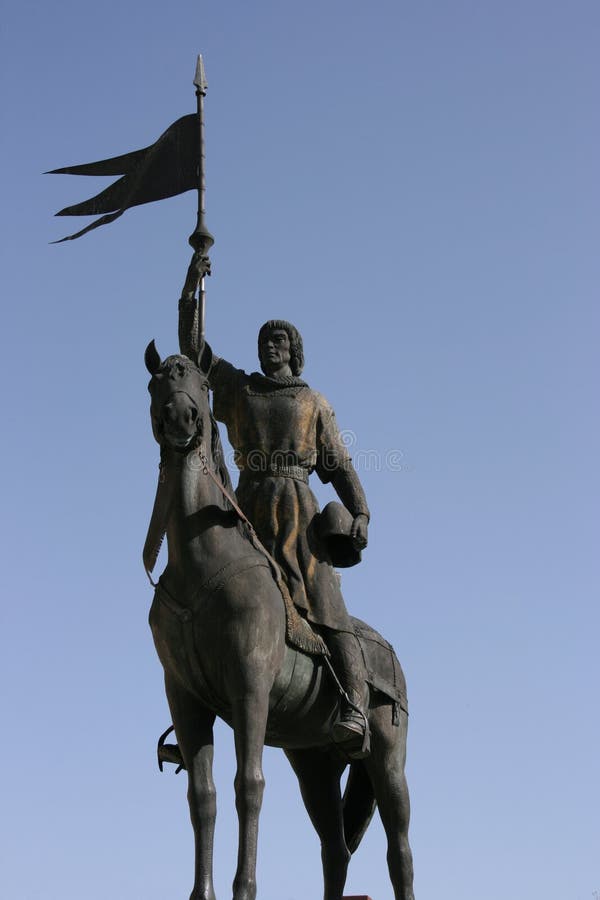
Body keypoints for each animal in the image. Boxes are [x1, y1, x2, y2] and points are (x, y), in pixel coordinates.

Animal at [144, 342, 414, 900]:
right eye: (155, 383)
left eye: (199, 383)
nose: (179, 419)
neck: (200, 560)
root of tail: (392, 655)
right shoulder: (185, 697)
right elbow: (202, 796)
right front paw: (201, 892)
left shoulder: (250, 687)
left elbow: (248, 786)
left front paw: (243, 888)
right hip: (314, 762)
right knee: (335, 849)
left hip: (386, 759)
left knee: (398, 848)